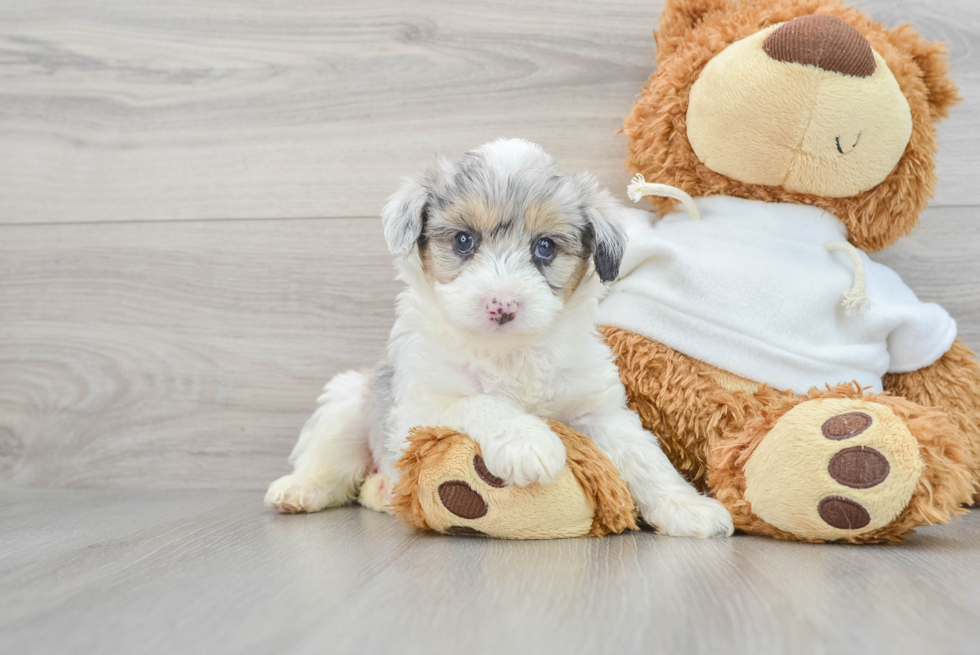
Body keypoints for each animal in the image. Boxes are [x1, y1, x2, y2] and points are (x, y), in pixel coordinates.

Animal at [268, 138, 736, 540]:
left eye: (545, 247)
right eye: (464, 240)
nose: (503, 306)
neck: (509, 352)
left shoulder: (598, 410)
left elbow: (644, 456)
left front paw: (686, 506)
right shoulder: (418, 409)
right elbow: (480, 402)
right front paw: (526, 440)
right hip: (349, 401)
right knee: (329, 462)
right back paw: (303, 489)